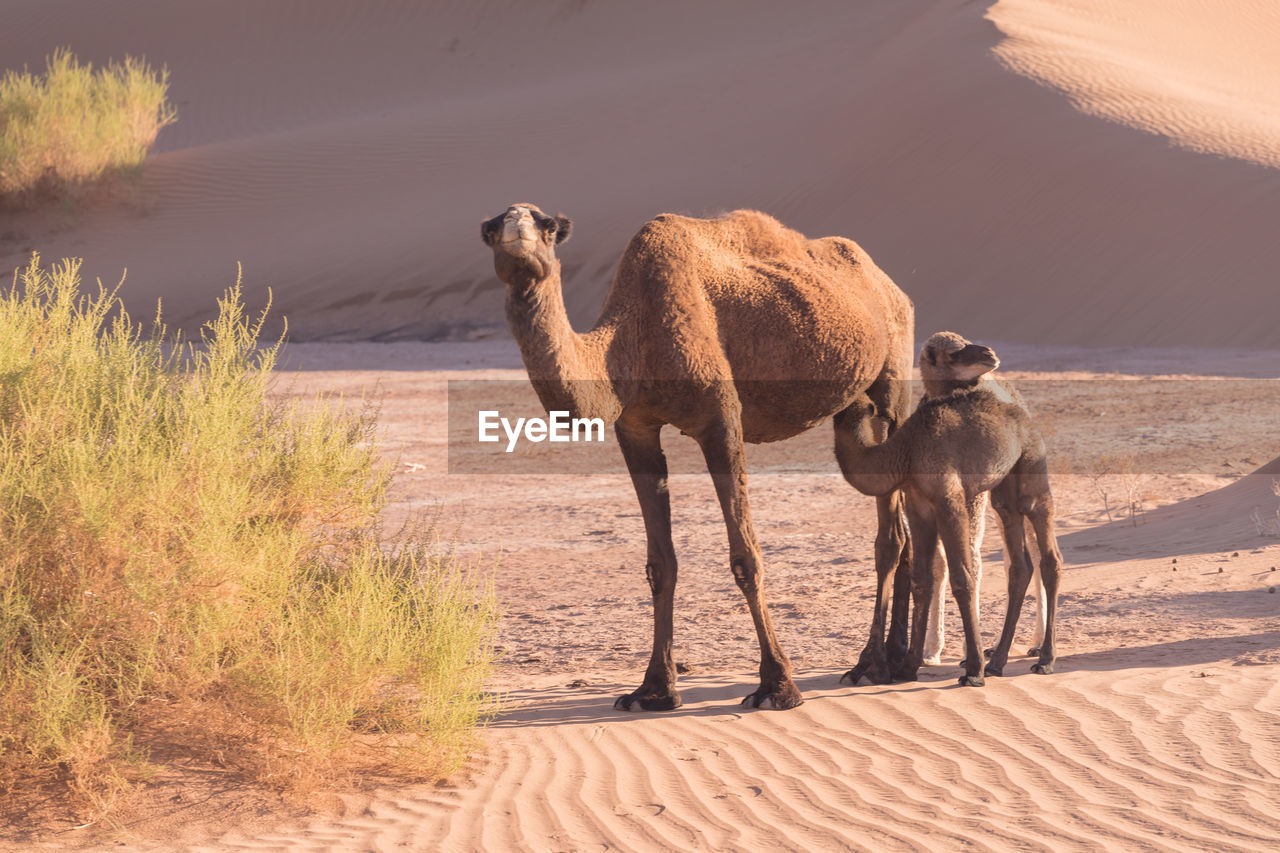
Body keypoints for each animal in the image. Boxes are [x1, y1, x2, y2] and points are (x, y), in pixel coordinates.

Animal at [476, 202, 916, 706]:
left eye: (547, 226)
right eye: (491, 229)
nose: (516, 229)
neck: (630, 340)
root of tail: (889, 284)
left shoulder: (720, 418)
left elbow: (746, 557)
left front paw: (777, 686)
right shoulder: (636, 429)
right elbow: (659, 564)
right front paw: (652, 689)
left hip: (892, 377)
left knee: (891, 532)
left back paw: (870, 664)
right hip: (855, 399)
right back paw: (898, 662)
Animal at [829, 333, 1059, 686]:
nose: (988, 353)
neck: (905, 452)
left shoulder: (949, 499)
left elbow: (963, 576)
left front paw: (973, 670)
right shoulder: (918, 505)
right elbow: (922, 578)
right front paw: (908, 666)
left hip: (1032, 464)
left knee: (1048, 554)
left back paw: (1043, 659)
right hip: (1002, 491)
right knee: (1019, 562)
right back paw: (998, 662)